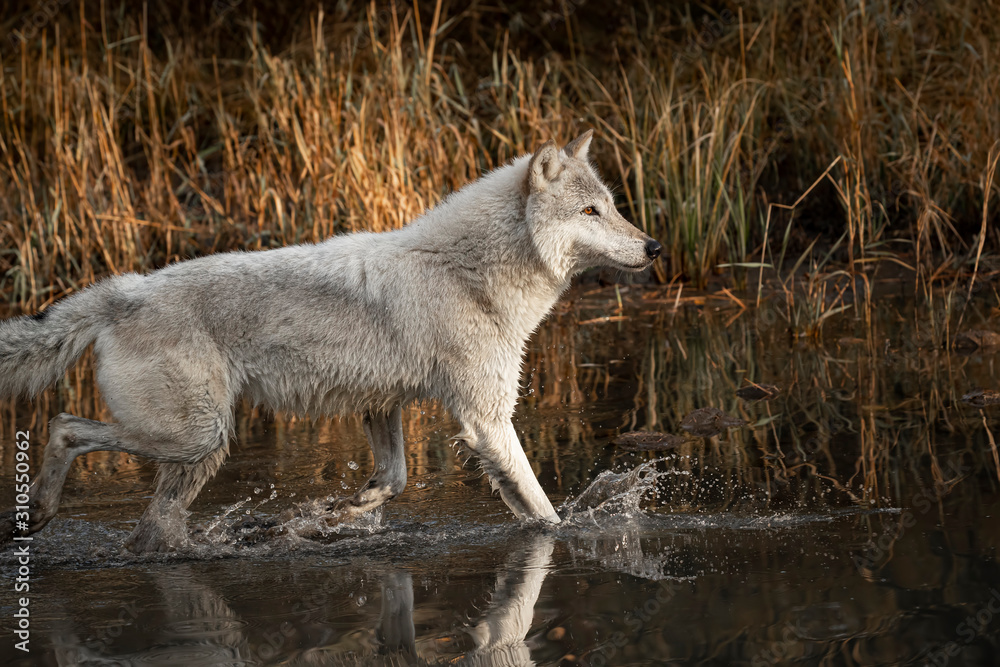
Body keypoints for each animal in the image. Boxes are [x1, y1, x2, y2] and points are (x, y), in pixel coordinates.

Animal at [0, 131, 661, 553]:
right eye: (591, 211)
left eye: (613, 207)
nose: (655, 247)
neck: (465, 273)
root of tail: (121, 292)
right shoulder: (486, 421)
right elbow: (543, 511)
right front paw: (571, 534)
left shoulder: (382, 405)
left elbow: (393, 481)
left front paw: (338, 514)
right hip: (196, 438)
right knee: (63, 425)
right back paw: (40, 511)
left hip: (197, 453)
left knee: (148, 530)